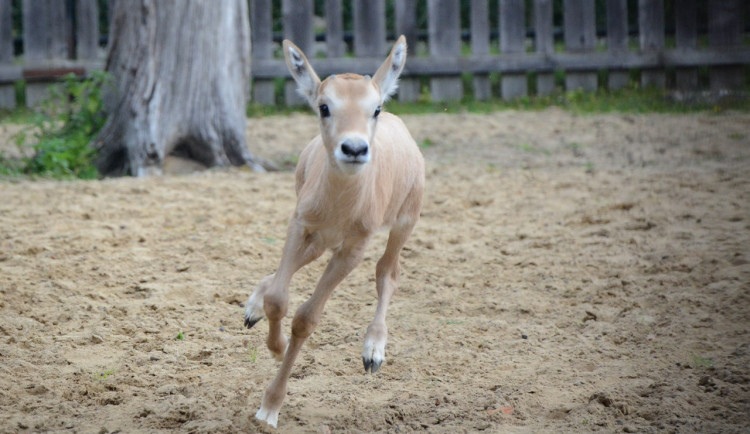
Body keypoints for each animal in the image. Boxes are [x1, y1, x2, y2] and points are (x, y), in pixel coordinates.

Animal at [244, 34, 426, 428]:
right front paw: (275, 343)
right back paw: (252, 307)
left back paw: (373, 349)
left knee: (388, 271)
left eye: (374, 109)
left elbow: (306, 319)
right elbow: (279, 298)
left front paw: (270, 406)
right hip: (319, 237)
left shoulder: (354, 247)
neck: (340, 204)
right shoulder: (300, 223)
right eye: (324, 107)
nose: (354, 148)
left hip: (406, 219)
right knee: (292, 271)